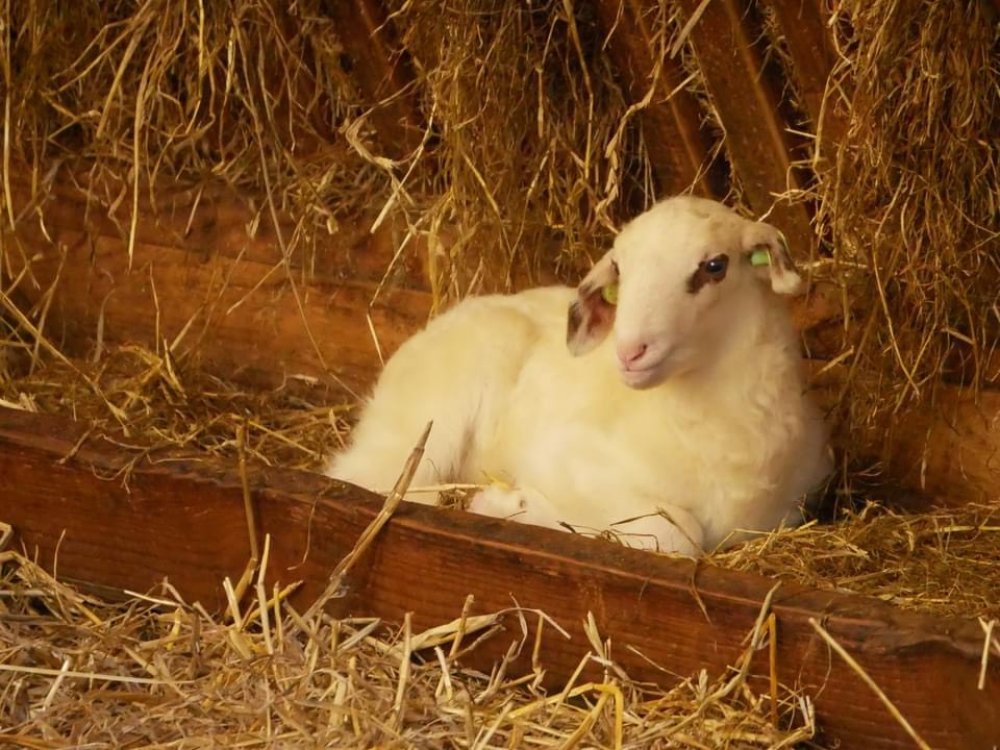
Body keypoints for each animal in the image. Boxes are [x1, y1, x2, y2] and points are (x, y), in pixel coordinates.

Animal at [325, 195, 832, 555]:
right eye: (621, 271)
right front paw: (508, 506)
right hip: (429, 420)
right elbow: (678, 535)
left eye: (715, 266)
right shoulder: (566, 458)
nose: (630, 351)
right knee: (373, 479)